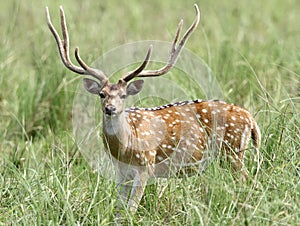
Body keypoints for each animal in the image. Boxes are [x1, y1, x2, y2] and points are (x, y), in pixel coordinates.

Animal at [45, 3, 260, 215]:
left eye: (123, 95)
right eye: (101, 94)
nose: (110, 108)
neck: (125, 147)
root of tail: (250, 118)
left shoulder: (145, 167)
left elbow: (131, 210)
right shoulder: (120, 172)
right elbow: (119, 211)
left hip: (232, 151)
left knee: (248, 181)